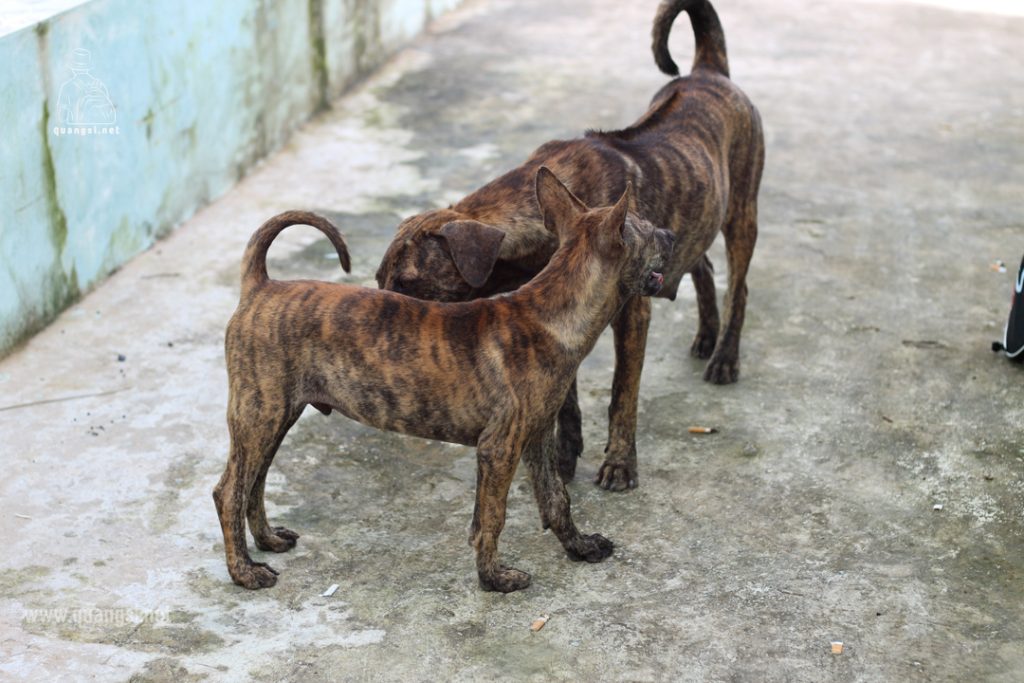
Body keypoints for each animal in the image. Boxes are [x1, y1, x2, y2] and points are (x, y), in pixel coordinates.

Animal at [212, 169, 675, 593]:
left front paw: (580, 547)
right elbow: (491, 517)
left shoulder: (538, 435)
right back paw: (244, 572)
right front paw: (494, 578)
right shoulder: (498, 448)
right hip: (259, 413)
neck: (551, 313)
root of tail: (260, 285)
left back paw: (267, 541)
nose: (671, 234)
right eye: (648, 230)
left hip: (276, 414)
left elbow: (556, 498)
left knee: (254, 483)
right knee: (229, 490)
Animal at [374, 0, 761, 491]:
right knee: (703, 266)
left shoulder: (632, 315)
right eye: (378, 280)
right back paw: (707, 335)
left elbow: (622, 393)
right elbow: (566, 398)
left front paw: (619, 462)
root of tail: (708, 70)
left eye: (409, 284)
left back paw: (725, 356)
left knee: (739, 285)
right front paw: (564, 454)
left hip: (742, 212)